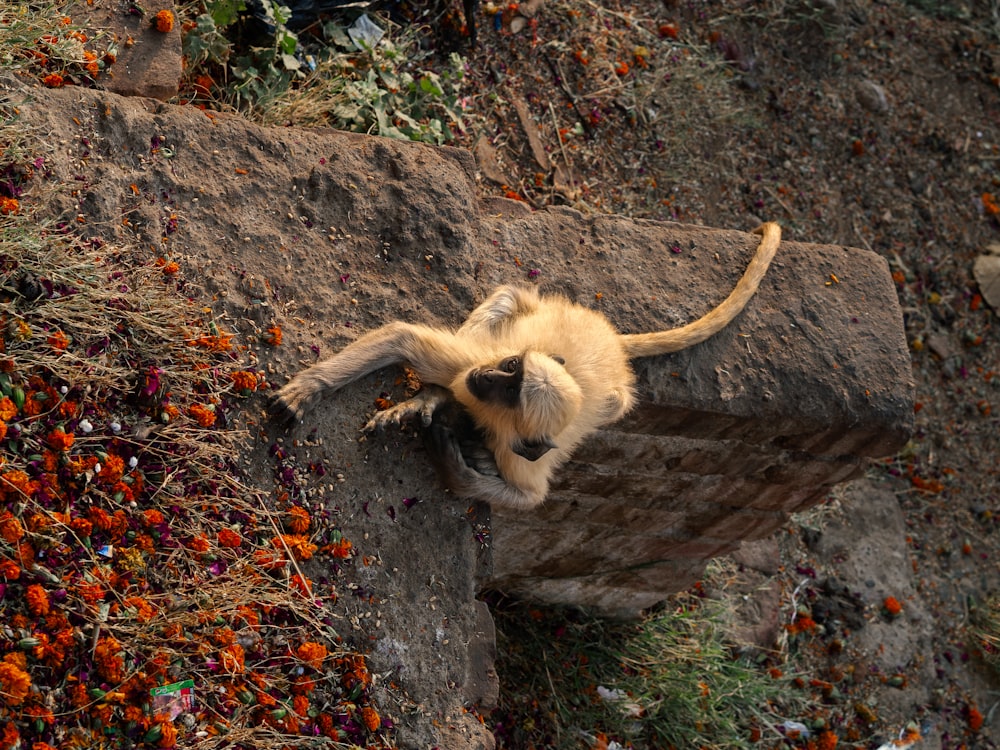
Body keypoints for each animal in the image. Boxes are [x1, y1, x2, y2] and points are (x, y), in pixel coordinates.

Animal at [274, 223, 780, 512]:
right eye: (511, 367)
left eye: (509, 391)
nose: (488, 377)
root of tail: (611, 340)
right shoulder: (470, 364)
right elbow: (404, 338)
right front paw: (309, 389)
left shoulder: (514, 449)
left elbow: (527, 496)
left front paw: (456, 461)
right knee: (505, 300)